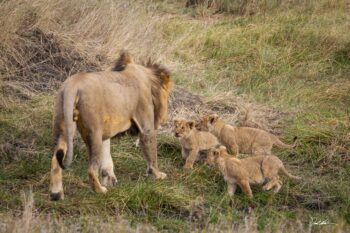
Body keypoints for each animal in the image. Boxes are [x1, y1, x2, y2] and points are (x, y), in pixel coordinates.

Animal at [50, 52, 173, 200]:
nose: (165, 118)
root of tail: (73, 84)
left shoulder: (106, 131)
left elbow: (107, 156)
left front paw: (110, 179)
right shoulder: (146, 126)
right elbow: (152, 154)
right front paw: (158, 175)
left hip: (63, 124)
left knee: (55, 158)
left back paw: (56, 194)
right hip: (94, 131)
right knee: (91, 169)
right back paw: (100, 190)